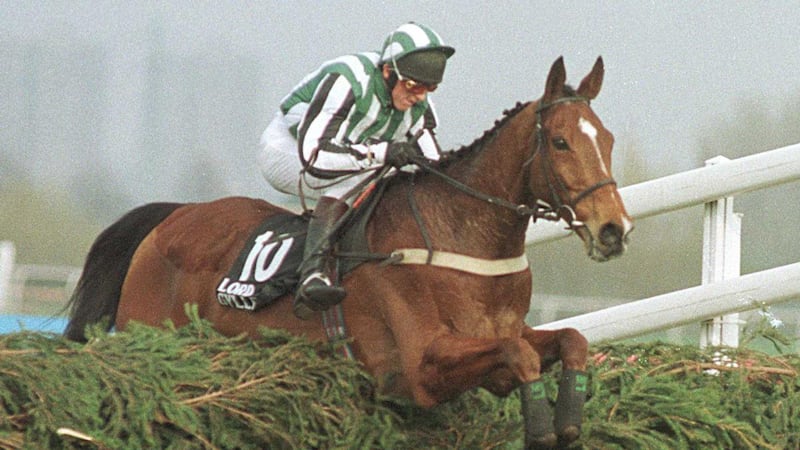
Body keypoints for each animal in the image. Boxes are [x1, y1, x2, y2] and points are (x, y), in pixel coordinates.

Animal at [64, 57, 632, 450]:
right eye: (560, 142)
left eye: (607, 139)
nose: (614, 231)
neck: (460, 235)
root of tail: (170, 217)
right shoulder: (420, 368)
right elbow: (519, 356)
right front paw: (542, 429)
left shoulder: (506, 333)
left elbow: (572, 339)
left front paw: (569, 419)